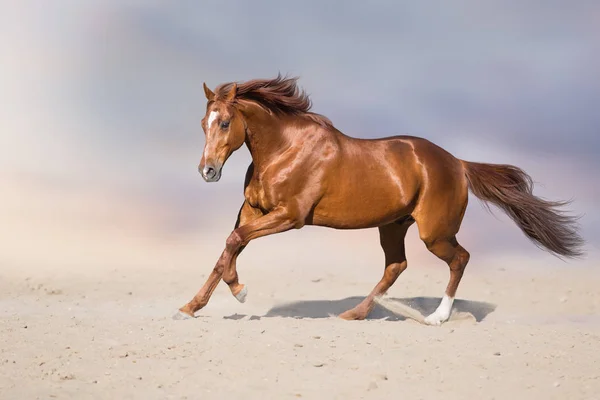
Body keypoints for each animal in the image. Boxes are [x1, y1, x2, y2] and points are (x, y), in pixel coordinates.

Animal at [175, 74, 584, 324]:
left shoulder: (290, 216)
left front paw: (240, 291)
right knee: (396, 266)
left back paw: (437, 317)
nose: (207, 171)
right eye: (202, 123)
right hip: (393, 226)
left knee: (459, 259)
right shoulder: (252, 211)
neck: (283, 149)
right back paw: (354, 314)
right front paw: (189, 307)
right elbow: (228, 248)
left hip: (434, 233)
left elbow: (233, 243)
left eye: (225, 122)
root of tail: (457, 163)